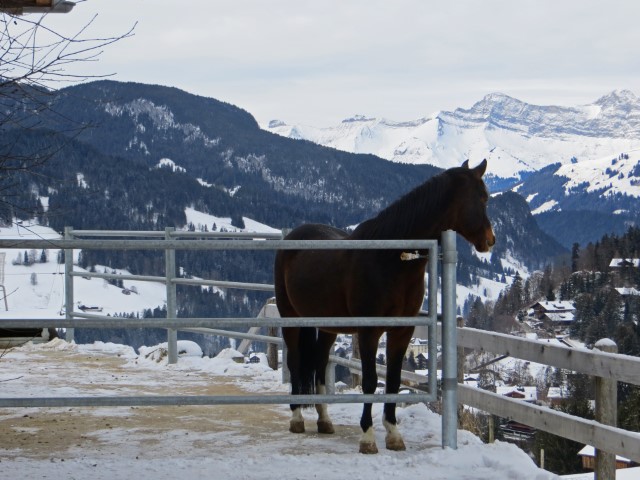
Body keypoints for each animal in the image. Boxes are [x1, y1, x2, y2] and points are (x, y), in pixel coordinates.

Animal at [274, 158, 496, 454]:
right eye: (482, 198)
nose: (490, 240)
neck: (390, 259)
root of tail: (292, 238)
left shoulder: (402, 331)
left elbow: (392, 379)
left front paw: (393, 433)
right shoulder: (369, 331)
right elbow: (370, 381)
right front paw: (367, 437)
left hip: (328, 325)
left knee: (320, 364)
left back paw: (324, 419)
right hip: (291, 318)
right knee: (296, 362)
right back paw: (297, 418)